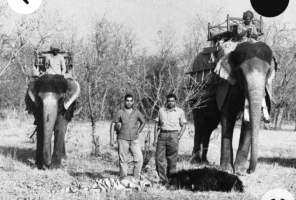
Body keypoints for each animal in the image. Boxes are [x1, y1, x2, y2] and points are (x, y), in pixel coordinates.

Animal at [191, 41, 274, 173]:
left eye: (268, 72)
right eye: (240, 72)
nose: (249, 170)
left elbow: (248, 122)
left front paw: (240, 170)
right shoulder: (226, 85)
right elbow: (228, 115)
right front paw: (227, 169)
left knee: (209, 127)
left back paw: (205, 161)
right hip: (195, 93)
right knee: (199, 124)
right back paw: (195, 162)